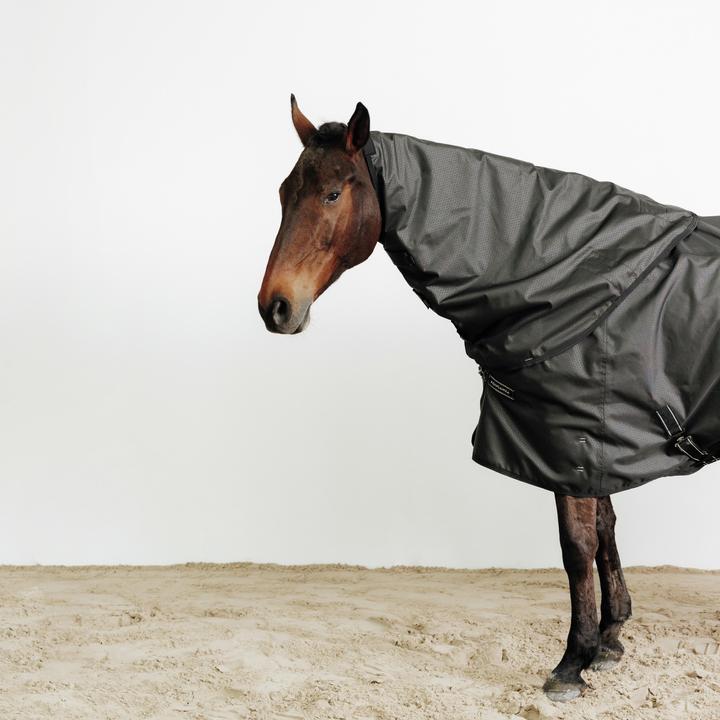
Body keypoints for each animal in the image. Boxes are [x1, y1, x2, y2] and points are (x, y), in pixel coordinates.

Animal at [258, 96, 719, 701]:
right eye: (284, 192)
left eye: (332, 193)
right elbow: (605, 530)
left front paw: (572, 661)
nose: (275, 307)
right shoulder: (596, 443)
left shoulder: (567, 440)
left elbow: (577, 546)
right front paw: (611, 638)